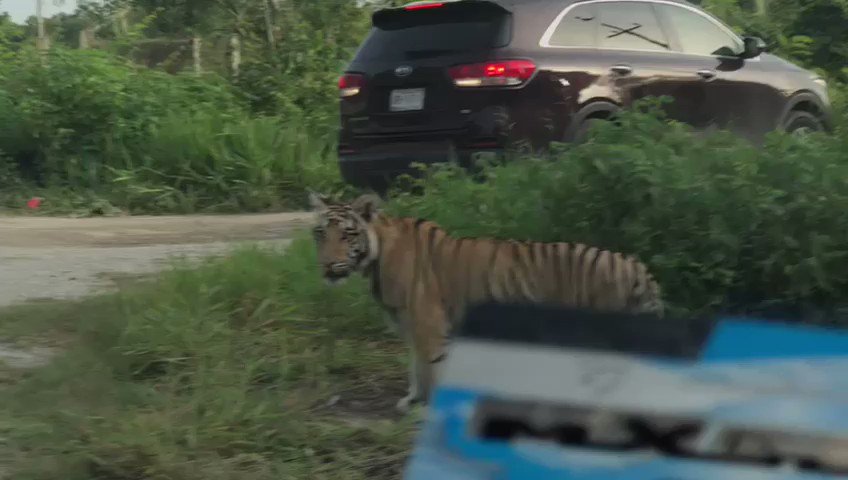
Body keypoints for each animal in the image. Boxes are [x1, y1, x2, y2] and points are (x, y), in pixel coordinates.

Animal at [308, 191, 664, 412]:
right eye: (321, 234)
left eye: (347, 235)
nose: (327, 265)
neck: (375, 256)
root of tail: (638, 267)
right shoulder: (410, 326)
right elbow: (415, 367)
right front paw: (412, 401)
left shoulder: (429, 325)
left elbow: (431, 370)